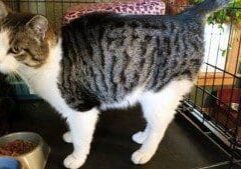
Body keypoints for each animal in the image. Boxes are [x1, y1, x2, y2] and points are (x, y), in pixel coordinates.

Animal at [0, 0, 231, 168]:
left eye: (15, 50)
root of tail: (186, 16)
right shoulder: (70, 109)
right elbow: (74, 128)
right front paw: (71, 135)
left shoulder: (82, 107)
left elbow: (82, 138)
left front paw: (76, 157)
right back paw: (143, 137)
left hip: (162, 93)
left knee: (161, 126)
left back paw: (145, 152)